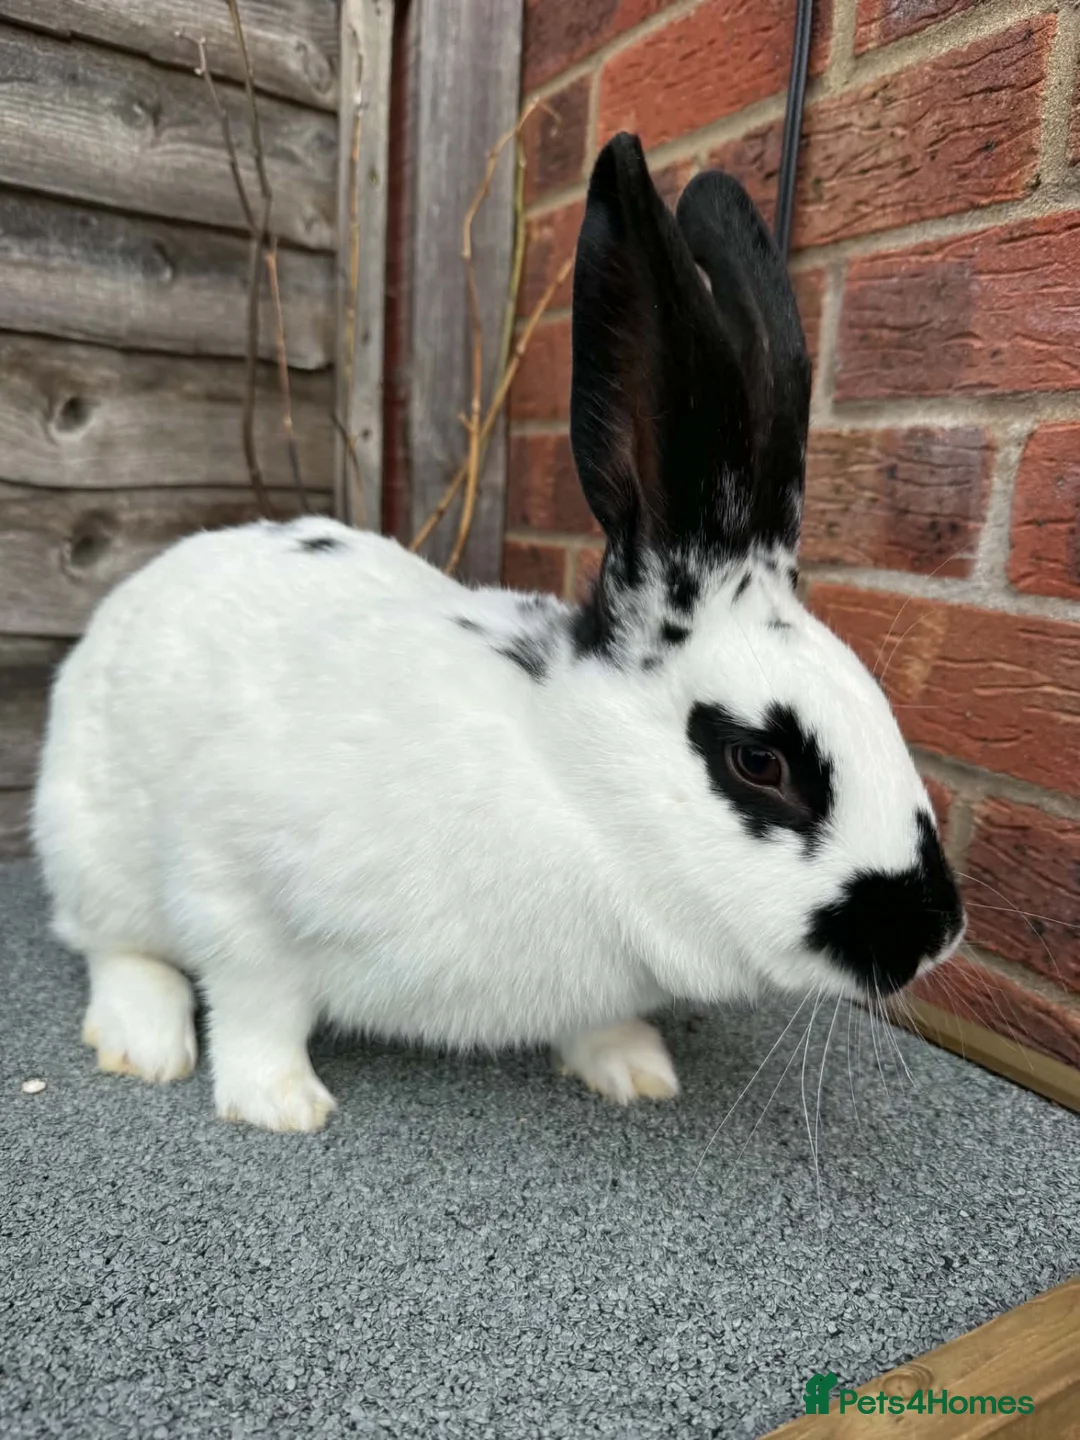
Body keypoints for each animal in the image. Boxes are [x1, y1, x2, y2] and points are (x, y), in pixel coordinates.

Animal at [32, 133, 965, 1132]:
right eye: (760, 762)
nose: (939, 934)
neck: (576, 797)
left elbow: (598, 1025)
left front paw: (635, 1070)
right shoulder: (234, 882)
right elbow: (256, 1002)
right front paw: (281, 1103)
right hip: (90, 847)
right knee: (112, 944)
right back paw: (146, 1043)